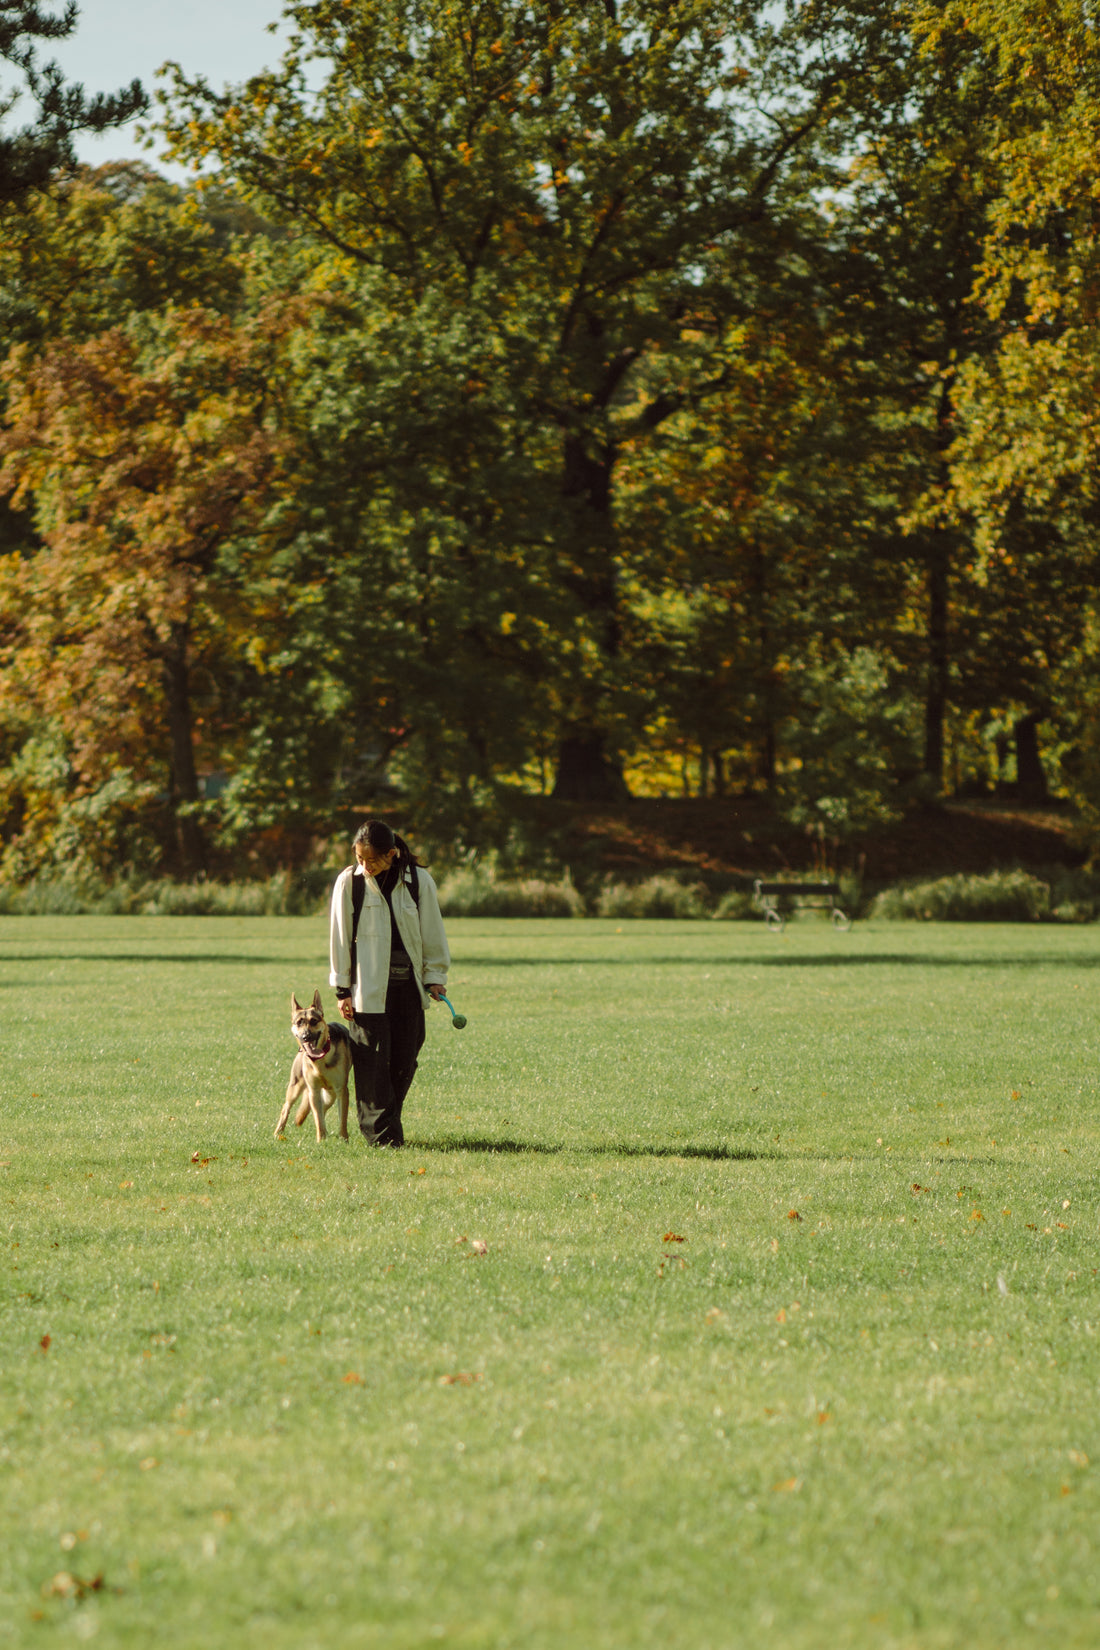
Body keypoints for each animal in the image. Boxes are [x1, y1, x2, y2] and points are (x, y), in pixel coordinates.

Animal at [275, 983, 352, 1141]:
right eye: (299, 1023)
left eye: (314, 1021)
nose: (306, 1036)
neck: (320, 1060)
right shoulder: (314, 1091)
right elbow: (318, 1119)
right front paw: (321, 1140)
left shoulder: (341, 1090)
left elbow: (342, 1119)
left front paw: (343, 1140)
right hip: (295, 1087)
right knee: (286, 1107)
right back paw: (278, 1132)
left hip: (330, 1095)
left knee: (322, 1109)